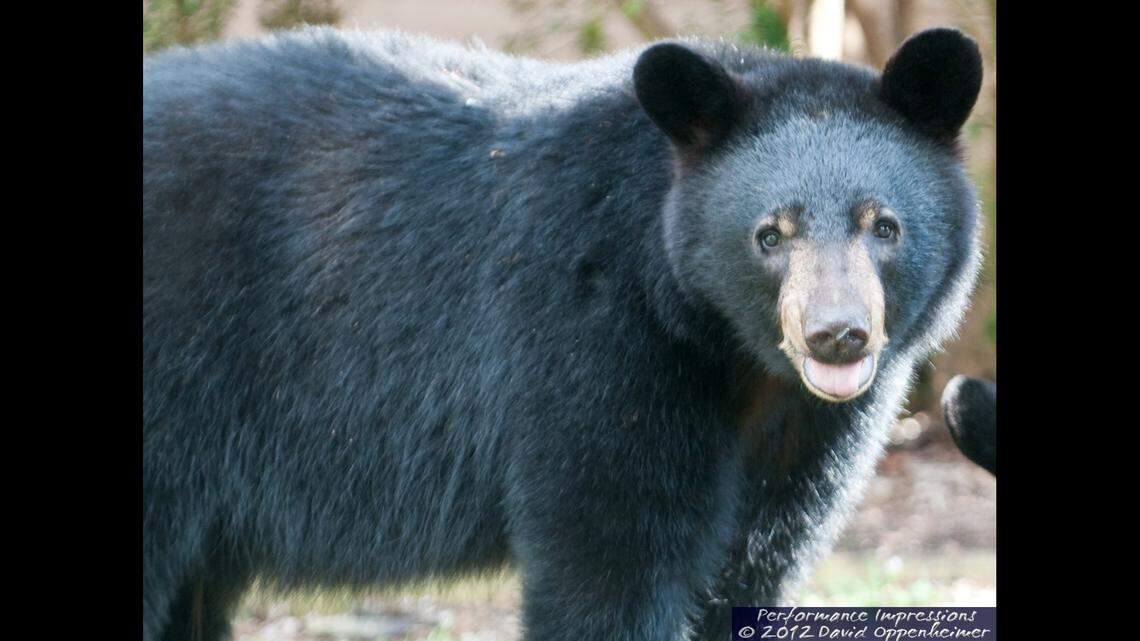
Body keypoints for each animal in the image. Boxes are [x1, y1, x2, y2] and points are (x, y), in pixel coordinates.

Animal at [143, 26, 984, 641]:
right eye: (769, 234)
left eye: (884, 226)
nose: (836, 335)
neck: (732, 355)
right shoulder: (592, 336)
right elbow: (610, 557)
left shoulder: (805, 436)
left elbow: (746, 568)